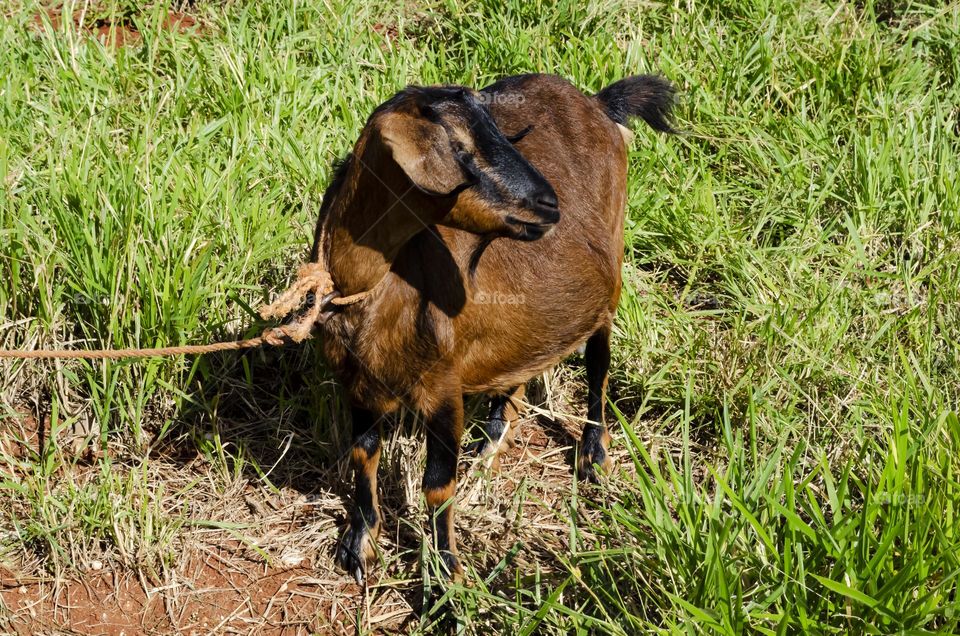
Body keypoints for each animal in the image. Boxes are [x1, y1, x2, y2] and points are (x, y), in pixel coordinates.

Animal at [310, 73, 676, 580]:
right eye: (460, 148)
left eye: (502, 133)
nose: (549, 204)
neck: (369, 287)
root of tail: (601, 104)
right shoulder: (358, 380)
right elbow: (364, 453)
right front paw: (359, 545)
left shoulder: (443, 386)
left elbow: (437, 485)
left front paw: (445, 579)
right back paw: (494, 442)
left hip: (610, 283)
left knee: (599, 365)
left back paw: (593, 454)